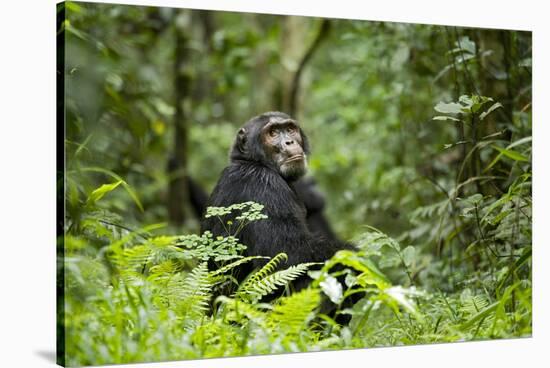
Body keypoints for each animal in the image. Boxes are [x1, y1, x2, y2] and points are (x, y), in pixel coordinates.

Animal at [202, 110, 354, 288]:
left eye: (290, 129)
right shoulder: (263, 187)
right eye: (273, 133)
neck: (255, 163)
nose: (289, 141)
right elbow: (290, 253)